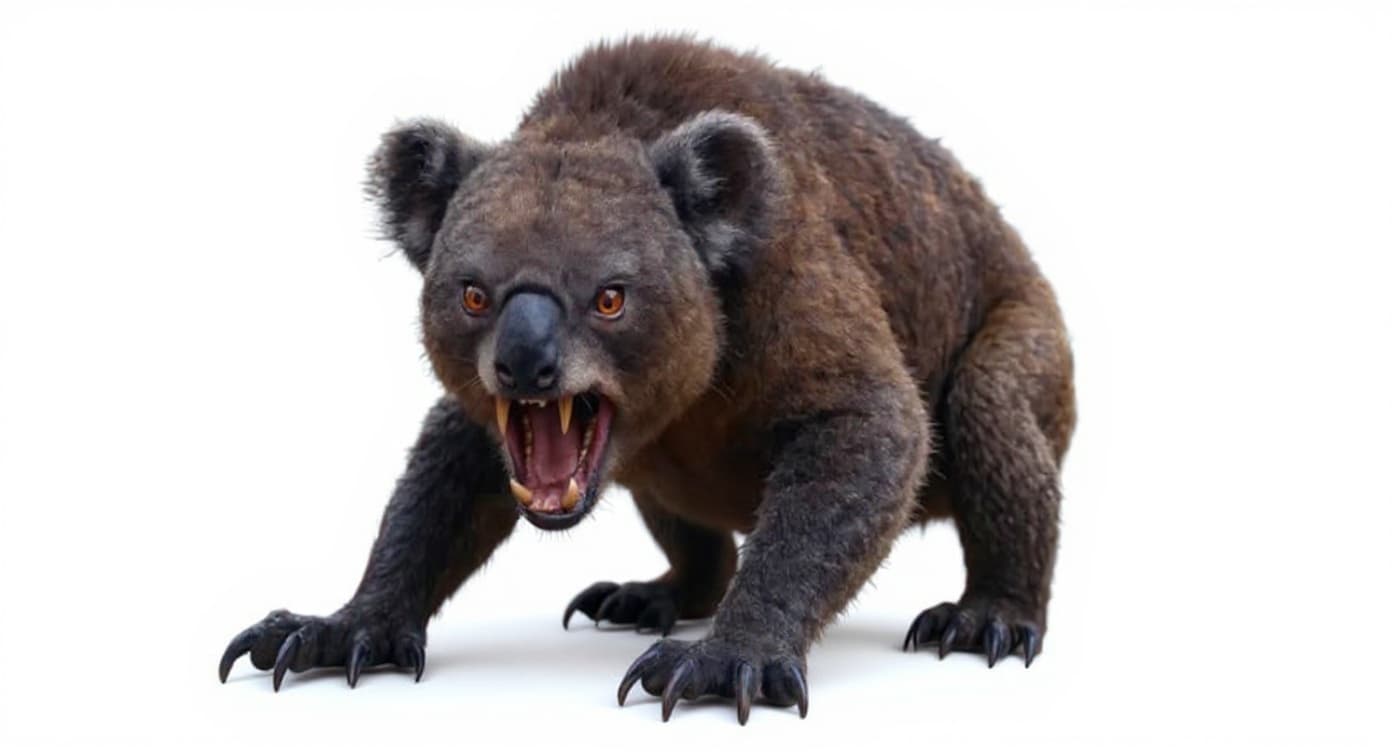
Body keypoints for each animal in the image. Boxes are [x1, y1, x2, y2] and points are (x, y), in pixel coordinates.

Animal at [218, 36, 1075, 724]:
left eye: (610, 297)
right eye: (472, 295)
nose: (524, 363)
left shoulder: (793, 285)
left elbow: (873, 429)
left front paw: (731, 657)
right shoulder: (487, 418)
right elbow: (441, 489)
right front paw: (344, 626)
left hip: (1030, 343)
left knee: (989, 410)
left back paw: (989, 616)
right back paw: (659, 592)